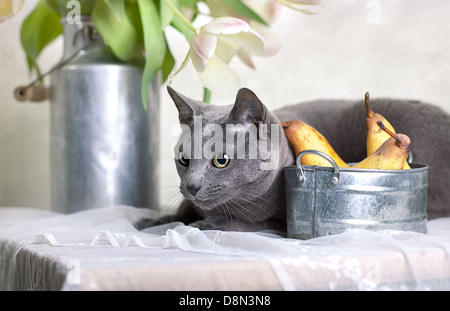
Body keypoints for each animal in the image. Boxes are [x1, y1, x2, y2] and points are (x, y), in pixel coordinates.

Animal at [152, 86, 450, 233]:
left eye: (221, 160)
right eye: (184, 160)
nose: (191, 186)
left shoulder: (281, 222)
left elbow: (254, 223)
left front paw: (209, 224)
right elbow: (180, 211)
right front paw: (156, 221)